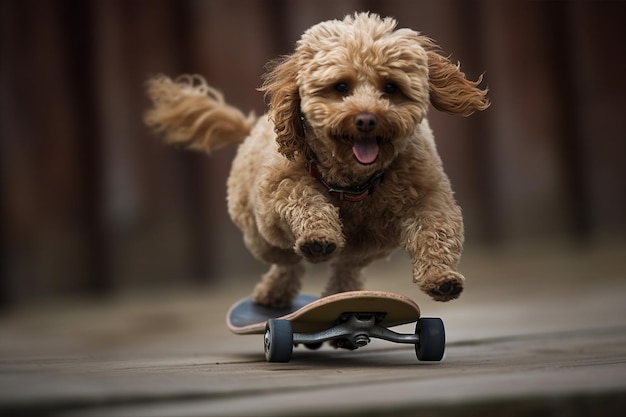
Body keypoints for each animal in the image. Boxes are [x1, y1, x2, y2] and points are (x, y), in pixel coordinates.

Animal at [145, 13, 488, 308]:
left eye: (391, 87)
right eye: (341, 86)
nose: (367, 119)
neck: (355, 183)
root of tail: (251, 127)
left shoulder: (429, 195)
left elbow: (436, 230)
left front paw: (441, 278)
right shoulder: (281, 189)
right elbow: (305, 201)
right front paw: (318, 238)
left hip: (368, 246)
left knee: (346, 267)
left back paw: (341, 296)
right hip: (261, 235)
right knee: (289, 262)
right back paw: (278, 290)